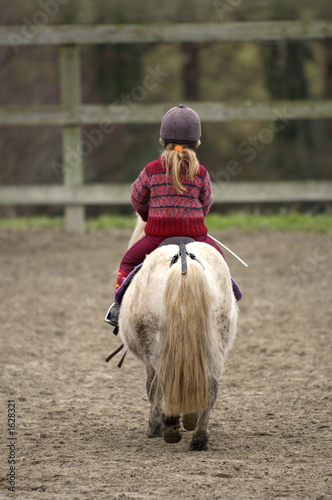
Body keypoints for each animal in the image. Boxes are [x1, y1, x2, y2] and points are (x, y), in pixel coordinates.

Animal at [118, 217, 237, 452]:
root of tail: (184, 259)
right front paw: (189, 418)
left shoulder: (149, 361)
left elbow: (153, 388)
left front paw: (155, 426)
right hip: (214, 343)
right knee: (210, 386)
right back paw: (199, 438)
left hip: (157, 344)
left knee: (166, 381)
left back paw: (171, 427)